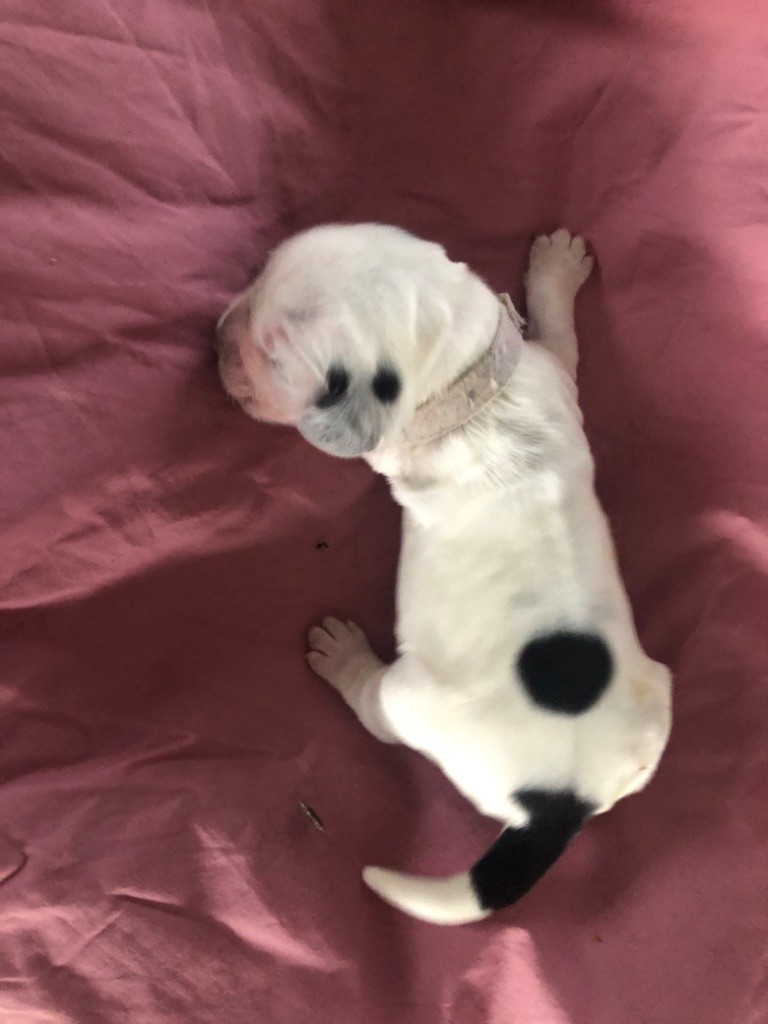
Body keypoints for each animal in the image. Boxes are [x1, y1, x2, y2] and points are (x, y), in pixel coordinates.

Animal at [216, 224, 672, 925]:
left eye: (272, 355)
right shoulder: (550, 369)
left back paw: (343, 656)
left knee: (379, 713)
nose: (215, 338)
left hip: (415, 701)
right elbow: (562, 339)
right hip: (655, 708)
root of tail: (562, 803)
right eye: (257, 275)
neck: (472, 387)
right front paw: (558, 269)